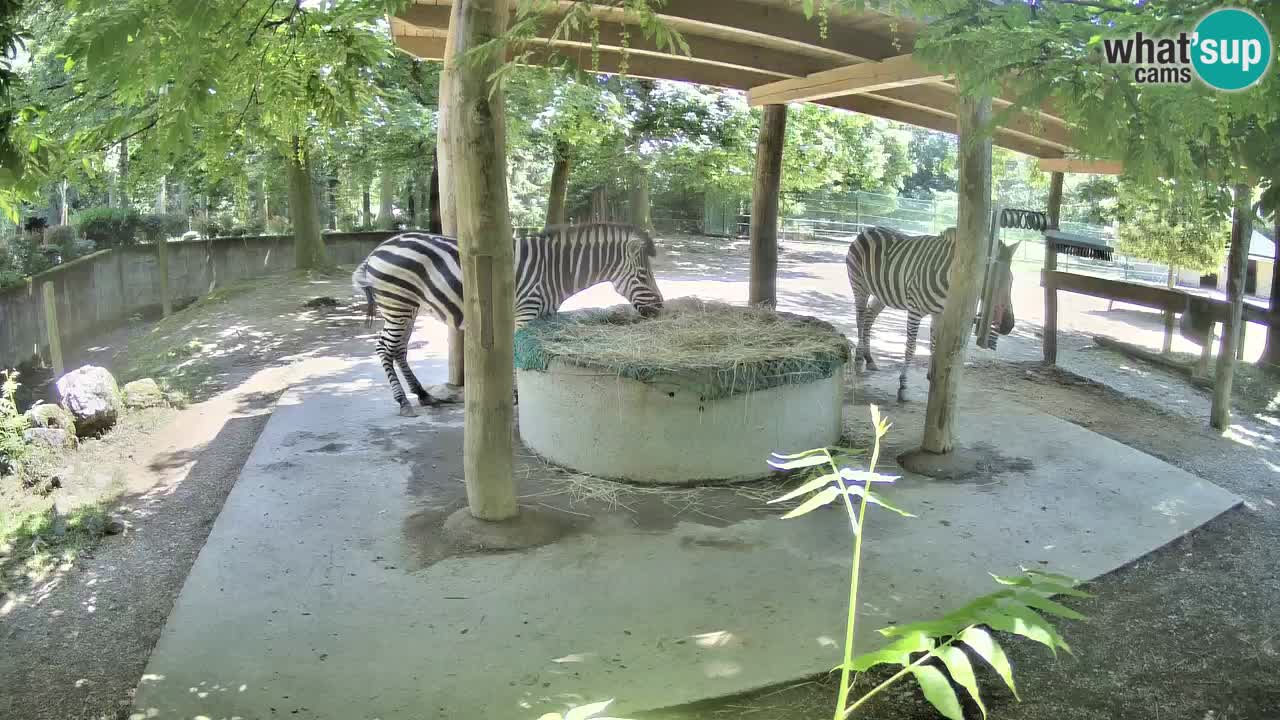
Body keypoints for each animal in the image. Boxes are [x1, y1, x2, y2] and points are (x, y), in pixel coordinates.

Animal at [351, 222, 664, 416]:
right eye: (643, 275)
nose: (660, 310)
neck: (556, 270)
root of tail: (377, 250)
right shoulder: (525, 313)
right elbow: (517, 357)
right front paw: (517, 398)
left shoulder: (543, 316)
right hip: (397, 304)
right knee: (384, 348)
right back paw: (403, 401)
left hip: (409, 307)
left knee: (399, 349)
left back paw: (423, 395)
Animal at [841, 226, 1019, 403]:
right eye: (990, 282)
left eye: (1011, 281)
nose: (1008, 325)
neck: (950, 282)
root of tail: (868, 229)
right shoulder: (915, 310)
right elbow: (911, 347)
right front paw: (903, 386)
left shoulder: (939, 313)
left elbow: (934, 345)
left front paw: (933, 375)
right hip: (859, 286)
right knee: (860, 319)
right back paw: (859, 357)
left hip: (882, 294)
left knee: (869, 317)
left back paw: (869, 359)